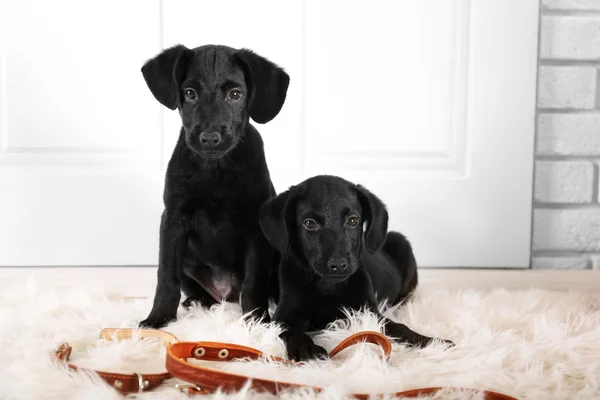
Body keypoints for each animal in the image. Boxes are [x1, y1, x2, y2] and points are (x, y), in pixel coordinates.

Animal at [141, 45, 290, 330]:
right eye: (190, 93)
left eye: (235, 94)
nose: (209, 138)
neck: (215, 169)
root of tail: (225, 293)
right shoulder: (173, 219)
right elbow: (166, 276)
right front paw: (158, 319)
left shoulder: (255, 227)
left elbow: (253, 282)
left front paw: (257, 321)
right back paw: (197, 302)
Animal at [260, 175, 452, 360]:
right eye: (309, 223)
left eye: (352, 220)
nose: (338, 264)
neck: (328, 286)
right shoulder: (283, 317)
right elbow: (291, 332)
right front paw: (306, 348)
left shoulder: (369, 312)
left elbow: (399, 327)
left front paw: (431, 342)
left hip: (401, 243)